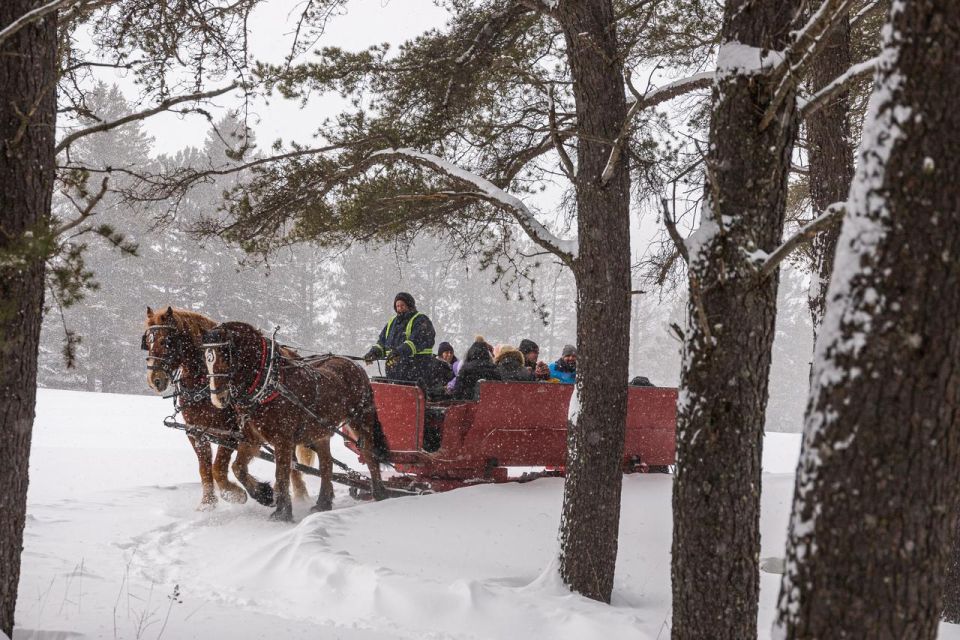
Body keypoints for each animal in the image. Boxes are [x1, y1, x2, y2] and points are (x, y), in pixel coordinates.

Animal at [142, 308, 312, 510]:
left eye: (166, 341)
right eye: (147, 342)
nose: (154, 379)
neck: (203, 383)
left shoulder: (231, 433)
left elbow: (218, 468)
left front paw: (235, 494)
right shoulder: (196, 431)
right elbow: (205, 468)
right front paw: (208, 504)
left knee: (292, 460)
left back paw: (301, 495)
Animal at [202, 322, 390, 524]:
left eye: (225, 355)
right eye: (206, 358)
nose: (218, 398)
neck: (269, 383)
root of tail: (355, 365)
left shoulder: (283, 439)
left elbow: (282, 472)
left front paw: (281, 512)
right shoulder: (252, 438)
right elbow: (238, 468)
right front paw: (265, 495)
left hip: (361, 419)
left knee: (369, 453)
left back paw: (380, 493)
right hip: (321, 432)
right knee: (327, 465)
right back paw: (323, 503)